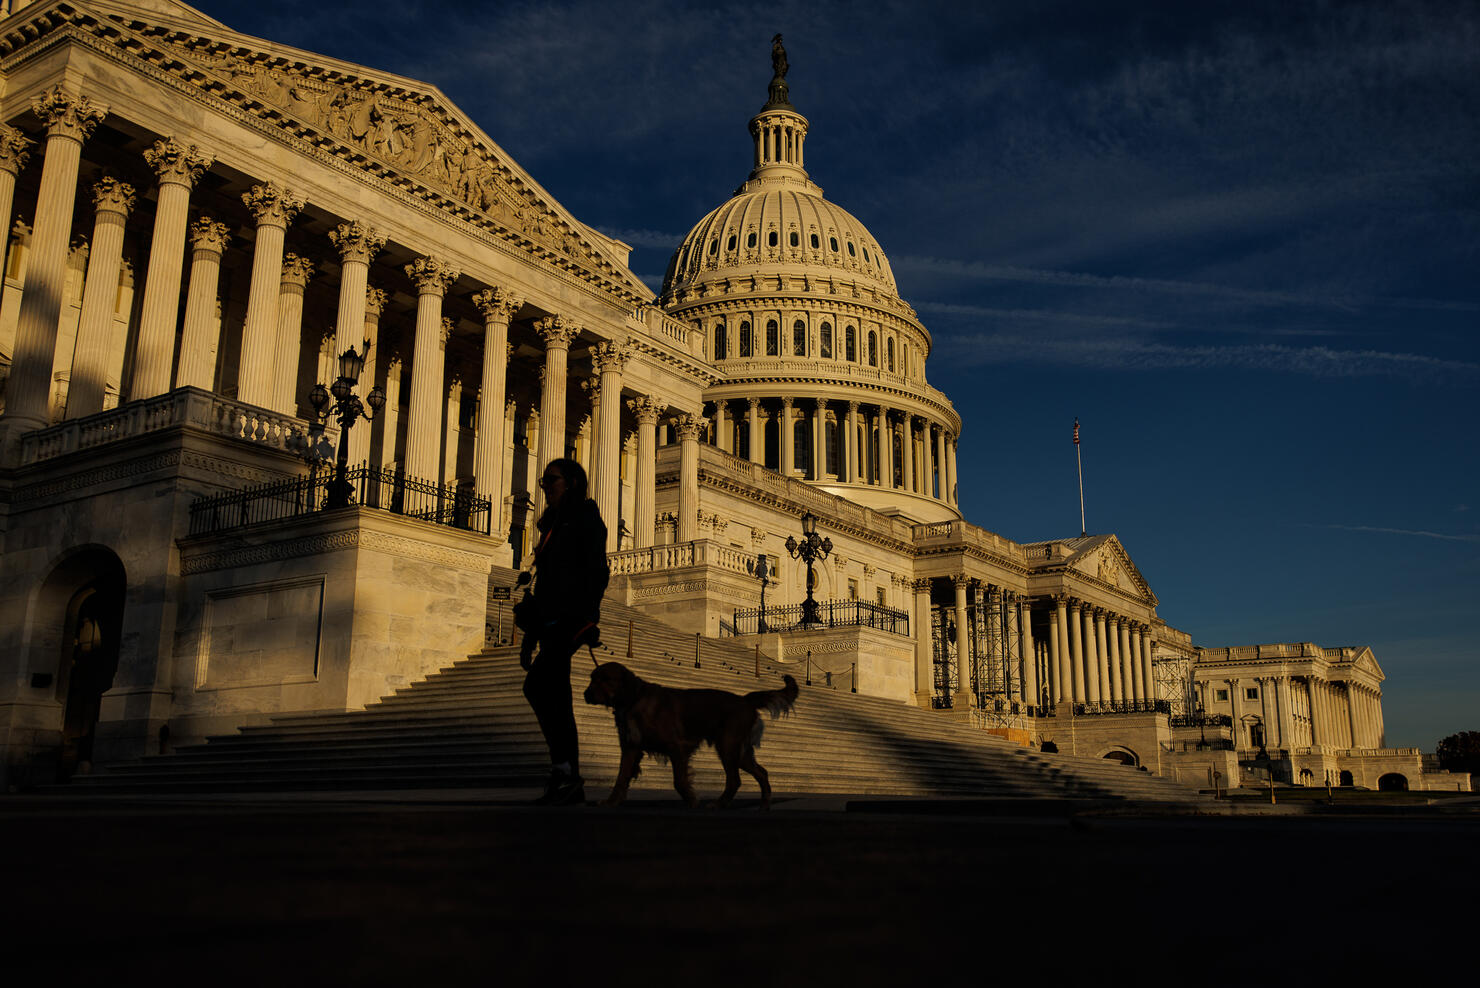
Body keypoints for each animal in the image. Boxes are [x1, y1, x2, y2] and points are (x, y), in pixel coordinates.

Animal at [583, 659, 805, 804]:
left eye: (605, 679)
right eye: (592, 678)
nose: (586, 694)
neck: (633, 700)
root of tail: (745, 699)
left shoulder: (678, 747)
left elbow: (679, 781)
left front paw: (692, 801)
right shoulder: (631, 748)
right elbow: (621, 778)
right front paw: (611, 802)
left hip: (727, 746)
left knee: (735, 779)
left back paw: (718, 805)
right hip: (740, 752)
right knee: (761, 773)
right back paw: (763, 806)